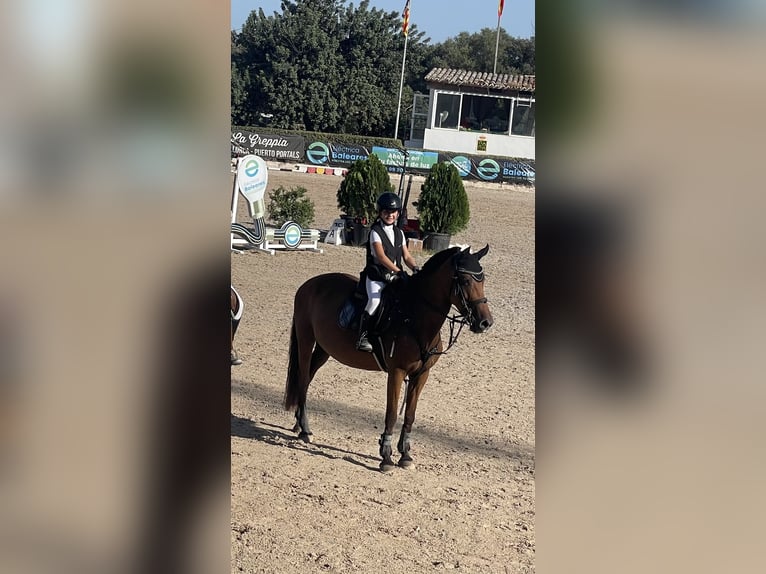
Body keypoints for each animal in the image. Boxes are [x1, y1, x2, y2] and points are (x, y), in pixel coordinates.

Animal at [284, 244, 493, 471]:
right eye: (465, 281)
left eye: (482, 279)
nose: (485, 323)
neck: (415, 318)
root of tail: (308, 284)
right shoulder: (397, 372)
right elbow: (391, 414)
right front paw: (385, 456)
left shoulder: (422, 374)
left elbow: (410, 414)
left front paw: (406, 455)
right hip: (306, 340)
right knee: (303, 378)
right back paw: (305, 429)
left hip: (325, 348)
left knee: (307, 378)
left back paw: (298, 424)